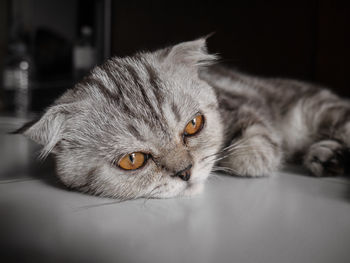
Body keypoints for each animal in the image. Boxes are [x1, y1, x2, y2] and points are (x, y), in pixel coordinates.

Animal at [16, 37, 350, 200]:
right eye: (132, 160)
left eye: (193, 125)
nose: (186, 172)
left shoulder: (241, 106)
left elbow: (250, 152)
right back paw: (329, 157)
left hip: (316, 110)